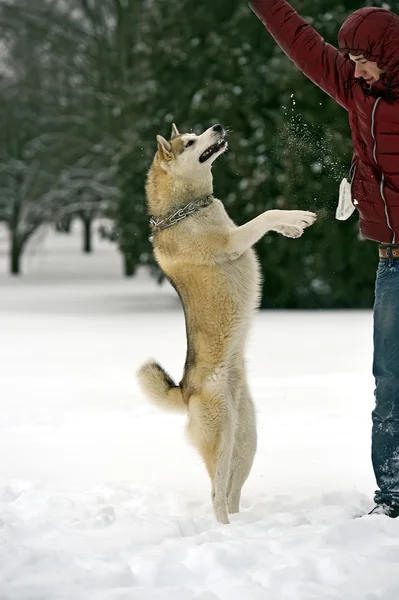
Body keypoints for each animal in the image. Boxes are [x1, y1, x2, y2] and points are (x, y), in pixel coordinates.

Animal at [136, 122, 318, 520]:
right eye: (190, 141)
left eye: (196, 131)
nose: (218, 126)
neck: (185, 210)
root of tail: (185, 390)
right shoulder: (233, 240)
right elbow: (265, 215)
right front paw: (295, 218)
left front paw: (292, 227)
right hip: (220, 436)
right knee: (217, 495)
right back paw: (223, 529)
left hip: (245, 440)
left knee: (232, 492)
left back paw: (240, 526)